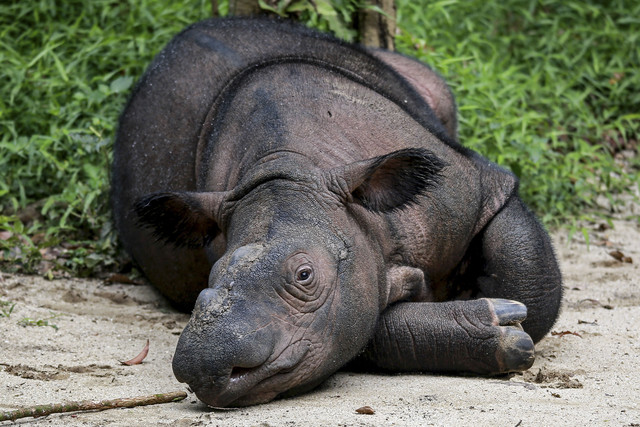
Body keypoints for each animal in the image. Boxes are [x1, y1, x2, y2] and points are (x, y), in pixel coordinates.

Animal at [111, 17, 562, 407]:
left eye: (304, 275)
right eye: (213, 274)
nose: (204, 368)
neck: (290, 165)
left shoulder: (480, 186)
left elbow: (530, 282)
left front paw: (497, 308)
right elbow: (365, 326)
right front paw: (496, 326)